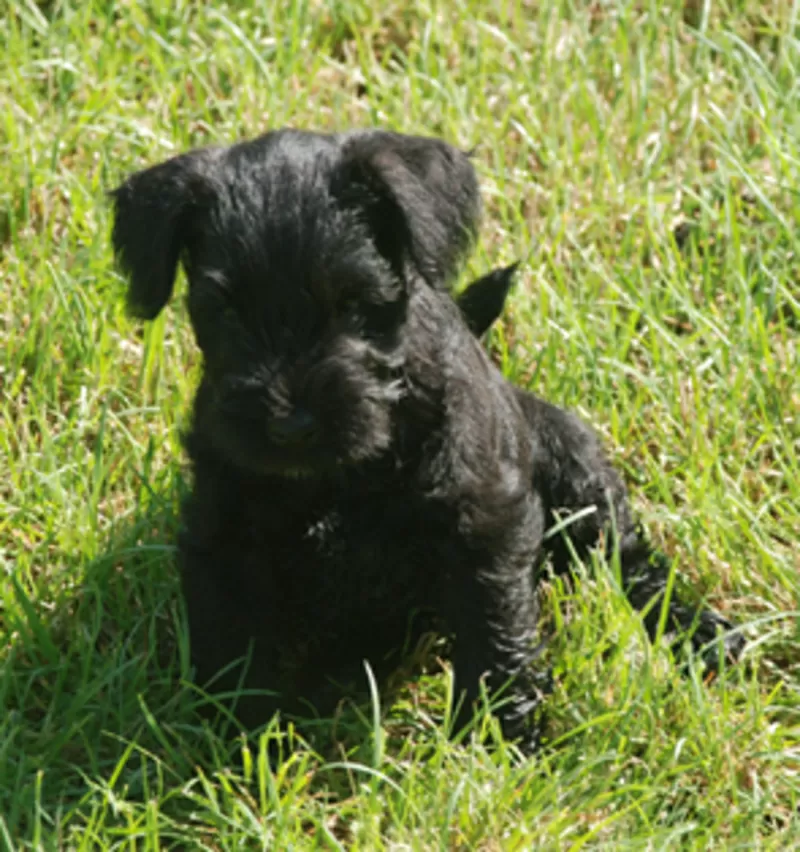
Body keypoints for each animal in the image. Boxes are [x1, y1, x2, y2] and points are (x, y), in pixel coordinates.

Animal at [109, 126, 740, 752]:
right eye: (225, 310)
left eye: (353, 301)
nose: (291, 426)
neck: (344, 473)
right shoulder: (226, 535)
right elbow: (232, 642)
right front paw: (238, 741)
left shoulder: (482, 522)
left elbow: (494, 632)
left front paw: (500, 740)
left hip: (577, 471)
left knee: (625, 561)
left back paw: (698, 631)